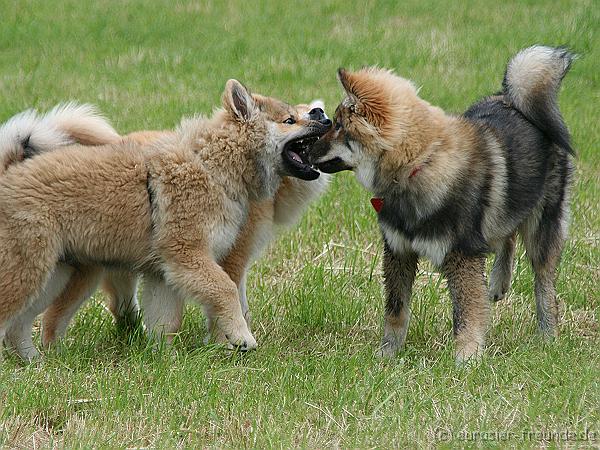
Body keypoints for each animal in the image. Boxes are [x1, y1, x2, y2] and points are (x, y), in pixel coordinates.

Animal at [0, 80, 332, 362]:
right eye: (289, 120)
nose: (323, 118)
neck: (214, 167)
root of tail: (9, 171)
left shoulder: (165, 273)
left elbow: (165, 322)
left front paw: (166, 361)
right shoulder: (191, 255)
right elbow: (225, 291)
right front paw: (240, 338)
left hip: (54, 275)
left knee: (21, 326)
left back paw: (36, 364)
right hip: (29, 272)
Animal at [310, 46, 576, 362]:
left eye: (338, 126)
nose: (306, 147)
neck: (417, 165)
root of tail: (512, 98)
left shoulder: (462, 255)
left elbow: (467, 314)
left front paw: (466, 357)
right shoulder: (398, 251)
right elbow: (396, 311)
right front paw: (387, 354)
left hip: (543, 225)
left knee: (543, 281)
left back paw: (548, 334)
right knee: (506, 234)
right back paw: (499, 283)